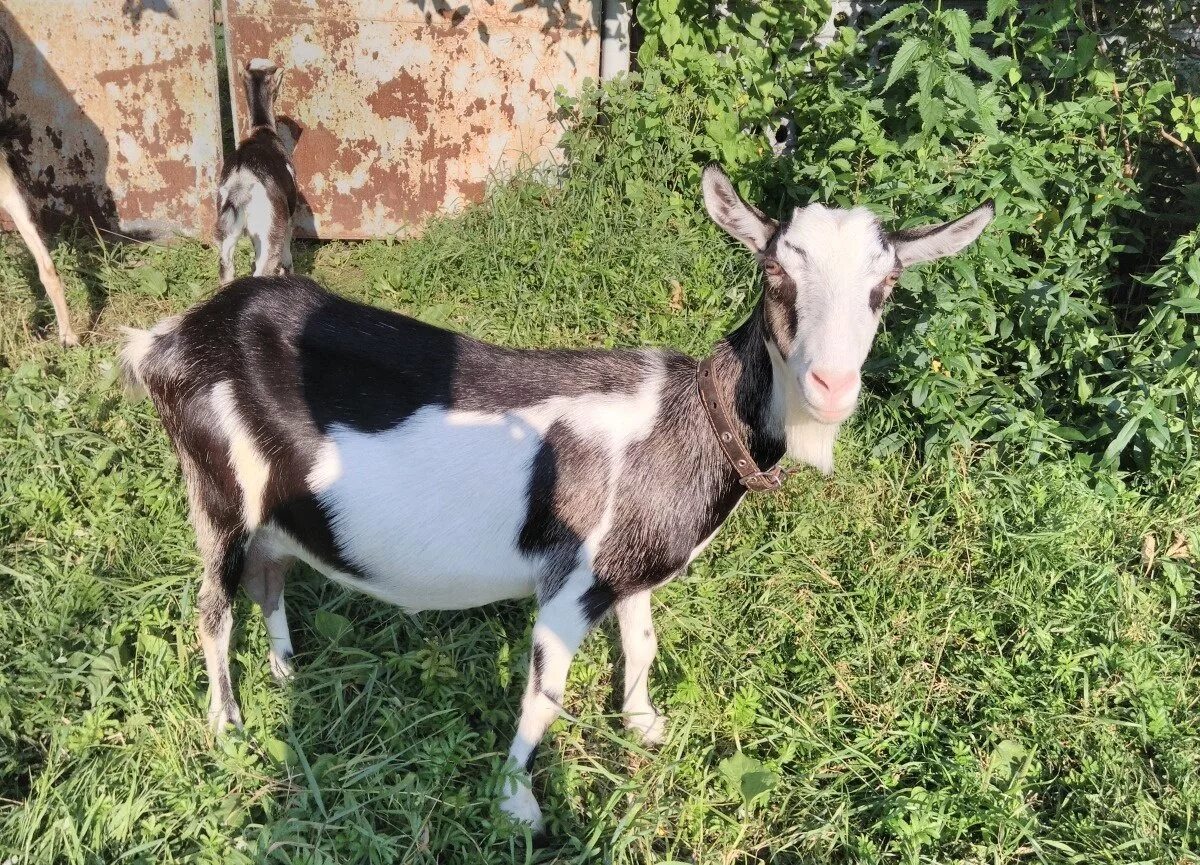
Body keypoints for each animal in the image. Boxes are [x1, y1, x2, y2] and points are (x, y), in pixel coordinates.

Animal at [121, 165, 993, 825]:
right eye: (777, 270)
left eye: (887, 285)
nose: (832, 384)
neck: (690, 421)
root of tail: (166, 341)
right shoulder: (571, 582)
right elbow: (543, 695)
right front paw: (518, 804)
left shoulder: (632, 564)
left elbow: (642, 641)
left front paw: (644, 724)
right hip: (217, 490)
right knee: (211, 607)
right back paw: (227, 721)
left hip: (273, 509)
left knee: (270, 577)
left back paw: (285, 668)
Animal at [214, 60, 294, 283]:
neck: (262, 130)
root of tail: (241, 182)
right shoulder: (286, 222)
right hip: (271, 234)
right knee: (262, 270)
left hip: (227, 238)